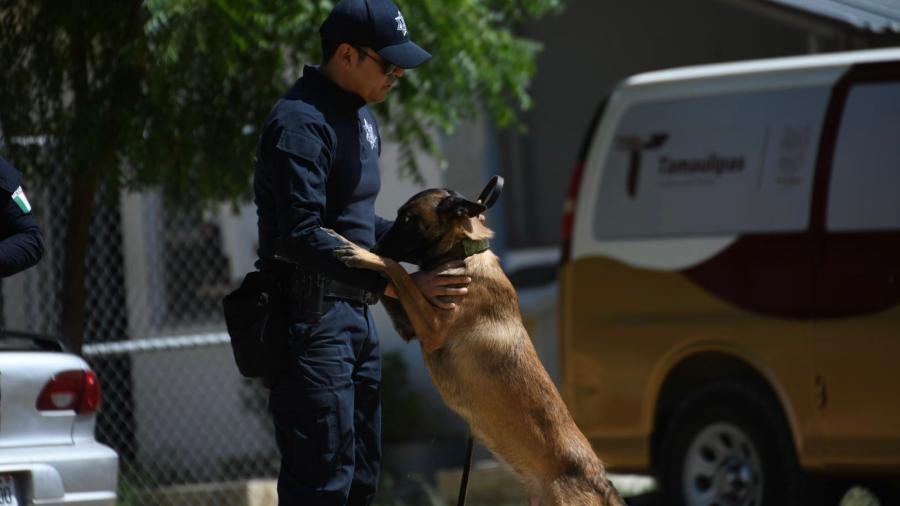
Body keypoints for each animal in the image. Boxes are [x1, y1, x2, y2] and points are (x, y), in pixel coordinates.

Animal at [326, 189, 624, 506]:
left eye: (407, 218)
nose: (375, 243)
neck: (464, 252)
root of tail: (600, 480)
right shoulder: (410, 326)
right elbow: (398, 279)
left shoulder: (432, 329)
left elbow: (398, 271)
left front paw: (362, 253)